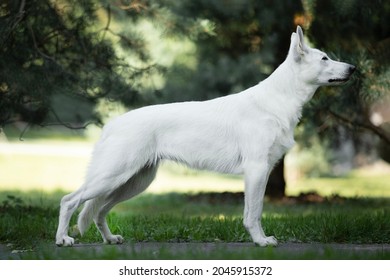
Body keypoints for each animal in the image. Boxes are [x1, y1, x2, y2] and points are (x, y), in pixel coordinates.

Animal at [55, 25, 356, 246]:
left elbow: (252, 211)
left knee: (98, 210)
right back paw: (63, 240)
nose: (353, 68)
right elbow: (255, 212)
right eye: (325, 58)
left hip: (133, 182)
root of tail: (112, 124)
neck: (277, 100)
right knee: (71, 200)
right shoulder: (257, 170)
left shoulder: (261, 171)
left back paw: (110, 240)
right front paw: (261, 242)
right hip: (114, 176)